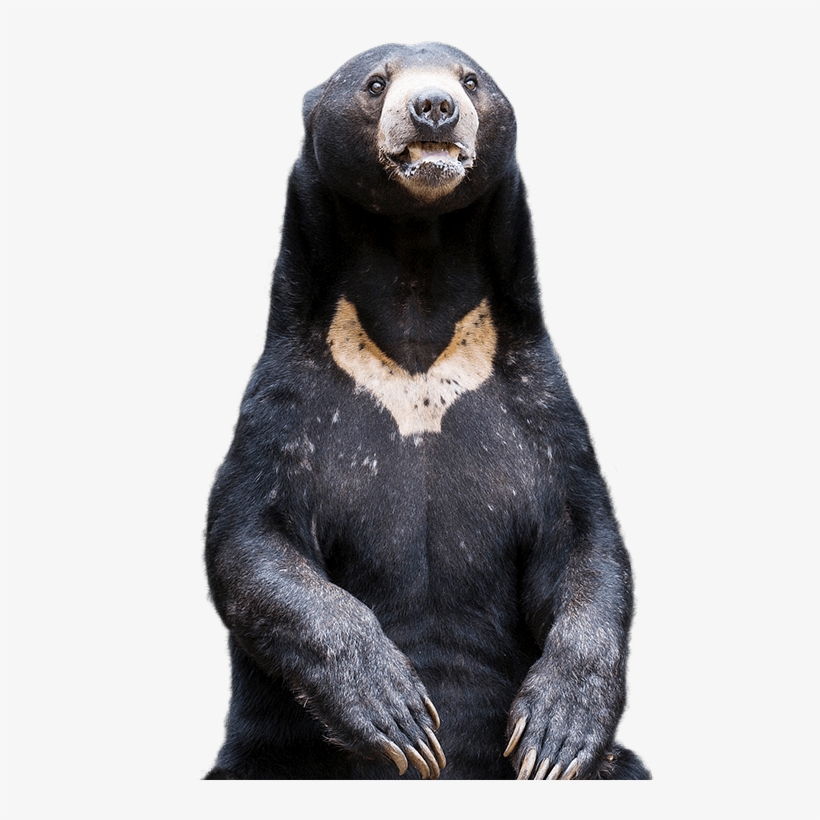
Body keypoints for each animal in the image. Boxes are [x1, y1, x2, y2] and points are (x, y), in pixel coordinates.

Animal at [204, 42, 650, 781]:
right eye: (374, 82)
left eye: (471, 80)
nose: (434, 105)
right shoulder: (290, 398)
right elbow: (251, 540)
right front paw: (396, 710)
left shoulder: (537, 400)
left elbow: (585, 540)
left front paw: (556, 734)